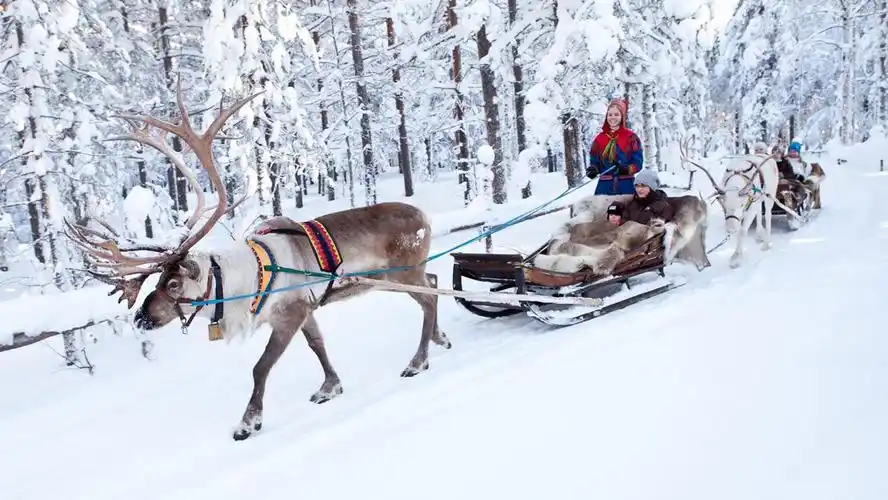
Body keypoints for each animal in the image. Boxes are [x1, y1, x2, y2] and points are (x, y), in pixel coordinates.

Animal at [64, 78, 451, 441]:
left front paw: (248, 422)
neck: (245, 281)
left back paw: (418, 361)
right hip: (396, 277)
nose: (141, 318)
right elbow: (318, 345)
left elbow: (260, 366)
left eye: (173, 283)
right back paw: (439, 338)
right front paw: (331, 387)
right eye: (157, 281)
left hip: (402, 273)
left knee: (430, 298)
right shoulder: (307, 309)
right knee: (434, 284)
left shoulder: (290, 313)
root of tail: (425, 215)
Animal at [680, 139, 778, 268]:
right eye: (723, 206)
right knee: (758, 213)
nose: (730, 229)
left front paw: (736, 258)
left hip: (769, 195)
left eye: (741, 204)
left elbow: (742, 231)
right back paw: (759, 236)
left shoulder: (750, 207)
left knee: (767, 215)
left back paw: (767, 242)